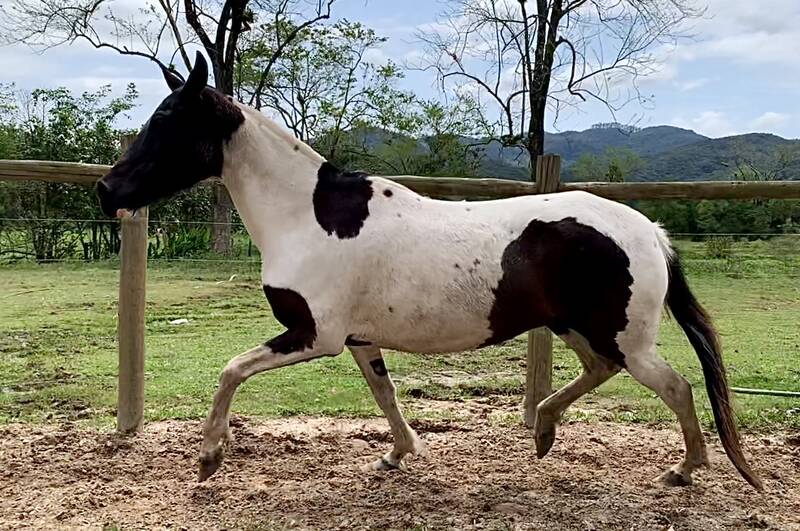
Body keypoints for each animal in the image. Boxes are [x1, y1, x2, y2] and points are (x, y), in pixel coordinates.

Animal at [95, 54, 764, 490]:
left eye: (166, 123)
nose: (107, 190)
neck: (309, 216)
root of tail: (650, 231)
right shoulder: (358, 339)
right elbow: (384, 394)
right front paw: (397, 455)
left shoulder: (315, 335)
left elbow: (231, 369)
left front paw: (209, 457)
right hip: (581, 330)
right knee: (601, 372)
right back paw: (545, 433)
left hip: (624, 338)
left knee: (677, 387)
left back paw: (684, 470)